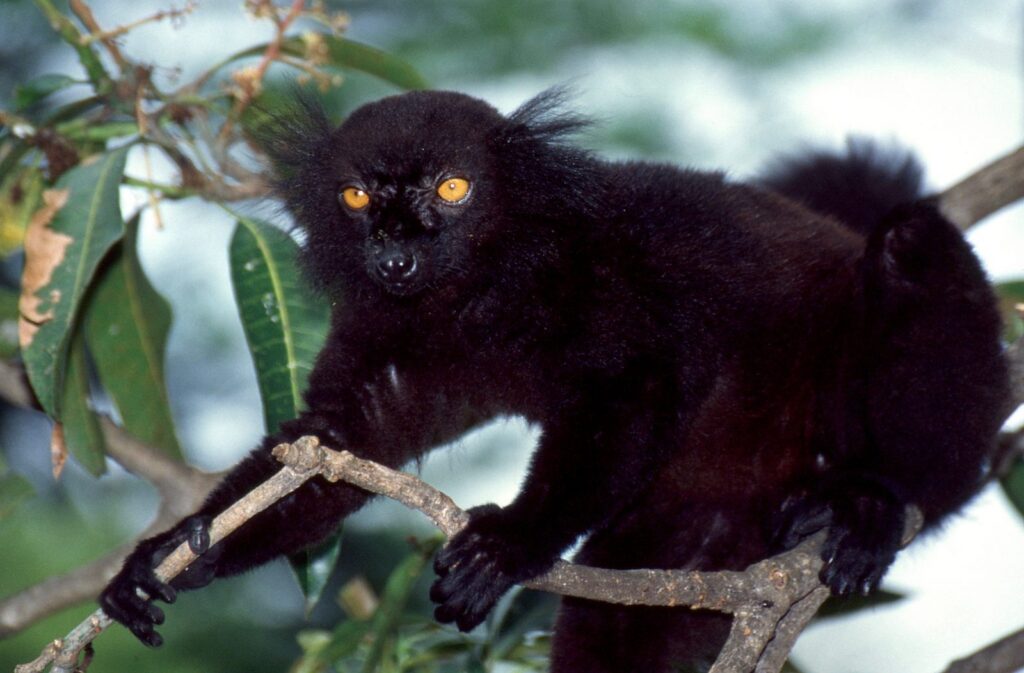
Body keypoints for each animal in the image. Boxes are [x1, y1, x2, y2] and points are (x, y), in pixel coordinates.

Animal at [99, 89, 1011, 672]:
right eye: (357, 196)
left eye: (452, 187)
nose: (394, 252)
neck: (470, 299)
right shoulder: (382, 329)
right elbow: (331, 449)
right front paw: (171, 552)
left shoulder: (594, 280)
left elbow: (635, 383)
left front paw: (510, 541)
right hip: (710, 522)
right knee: (620, 606)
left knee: (907, 249)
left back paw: (870, 499)